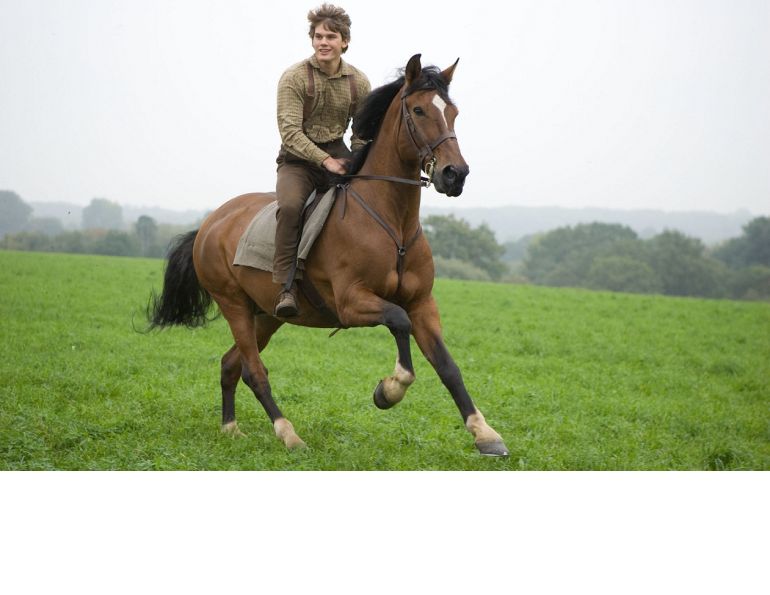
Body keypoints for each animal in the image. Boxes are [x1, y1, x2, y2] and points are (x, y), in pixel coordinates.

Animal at [148, 54, 509, 457]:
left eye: (453, 112)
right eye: (418, 110)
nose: (455, 174)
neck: (391, 223)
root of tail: (210, 223)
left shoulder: (422, 303)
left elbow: (448, 366)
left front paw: (485, 434)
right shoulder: (353, 303)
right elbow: (398, 323)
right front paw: (389, 390)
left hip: (267, 314)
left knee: (231, 365)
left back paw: (231, 429)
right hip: (234, 305)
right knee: (254, 372)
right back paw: (289, 434)